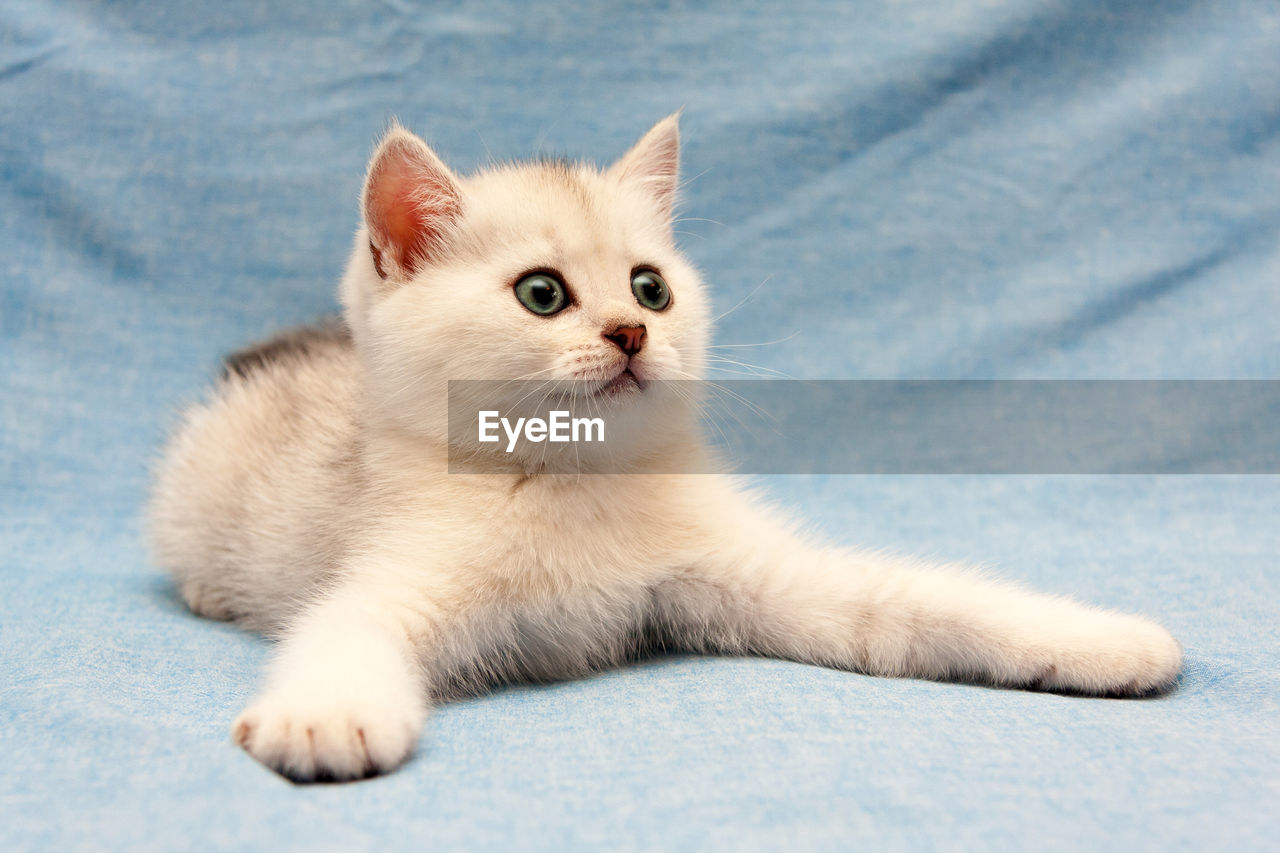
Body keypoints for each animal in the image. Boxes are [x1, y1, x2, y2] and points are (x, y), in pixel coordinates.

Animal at [147, 116, 1177, 778]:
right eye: (543, 294)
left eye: (651, 287)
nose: (632, 333)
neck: (573, 478)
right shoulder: (391, 573)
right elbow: (344, 630)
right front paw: (327, 716)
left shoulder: (757, 572)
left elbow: (927, 602)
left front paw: (1100, 640)